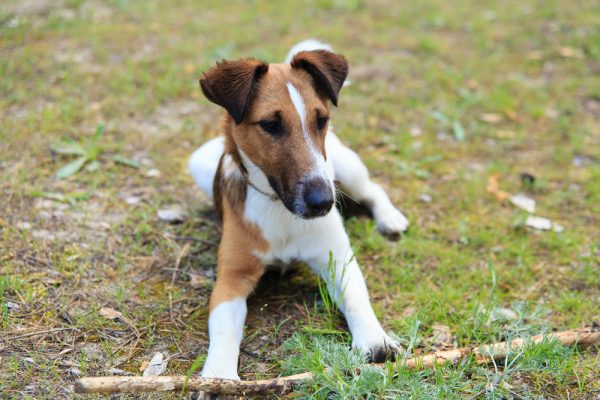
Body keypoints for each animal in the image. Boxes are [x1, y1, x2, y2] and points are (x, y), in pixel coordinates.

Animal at [190, 39, 410, 396]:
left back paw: (390, 218)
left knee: (372, 188)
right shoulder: (232, 277)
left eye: (321, 120)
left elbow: (356, 296)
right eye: (271, 124)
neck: (281, 209)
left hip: (347, 170)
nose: (324, 202)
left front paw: (374, 338)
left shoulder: (337, 258)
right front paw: (219, 375)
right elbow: (224, 328)